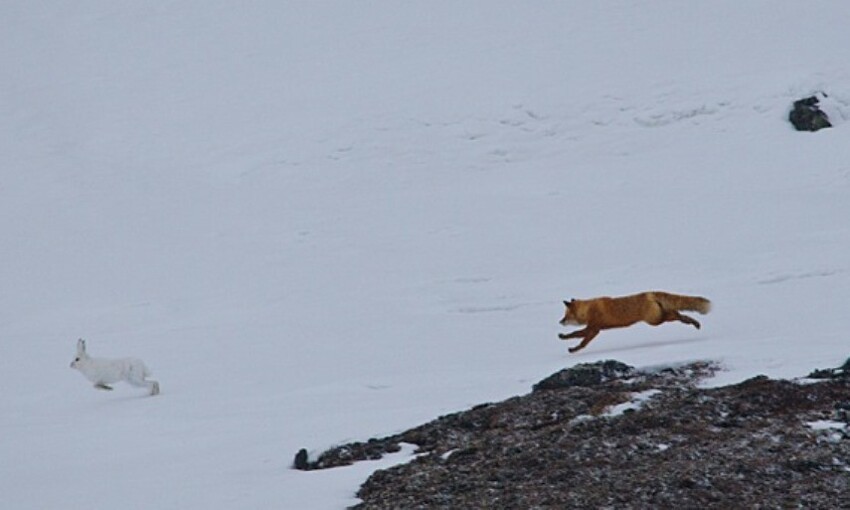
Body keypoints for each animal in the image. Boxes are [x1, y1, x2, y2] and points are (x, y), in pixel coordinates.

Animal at [556, 292, 708, 352]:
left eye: (566, 316)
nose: (560, 321)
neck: (588, 310)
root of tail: (650, 293)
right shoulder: (594, 329)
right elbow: (580, 337)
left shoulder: (594, 329)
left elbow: (577, 336)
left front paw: (569, 344)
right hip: (658, 318)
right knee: (676, 313)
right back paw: (692, 321)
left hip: (655, 321)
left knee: (675, 314)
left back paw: (692, 322)